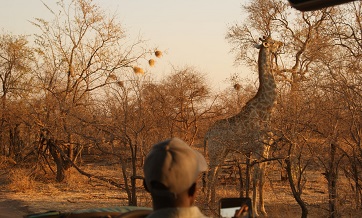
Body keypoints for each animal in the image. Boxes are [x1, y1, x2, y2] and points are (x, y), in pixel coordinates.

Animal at [205, 35, 282, 216]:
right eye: (272, 41)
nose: (282, 43)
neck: (267, 109)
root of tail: (207, 134)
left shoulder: (266, 148)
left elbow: (261, 179)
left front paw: (263, 210)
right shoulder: (258, 148)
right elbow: (255, 179)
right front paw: (256, 211)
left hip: (224, 152)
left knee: (216, 174)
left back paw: (214, 204)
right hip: (216, 150)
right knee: (211, 174)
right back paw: (208, 206)